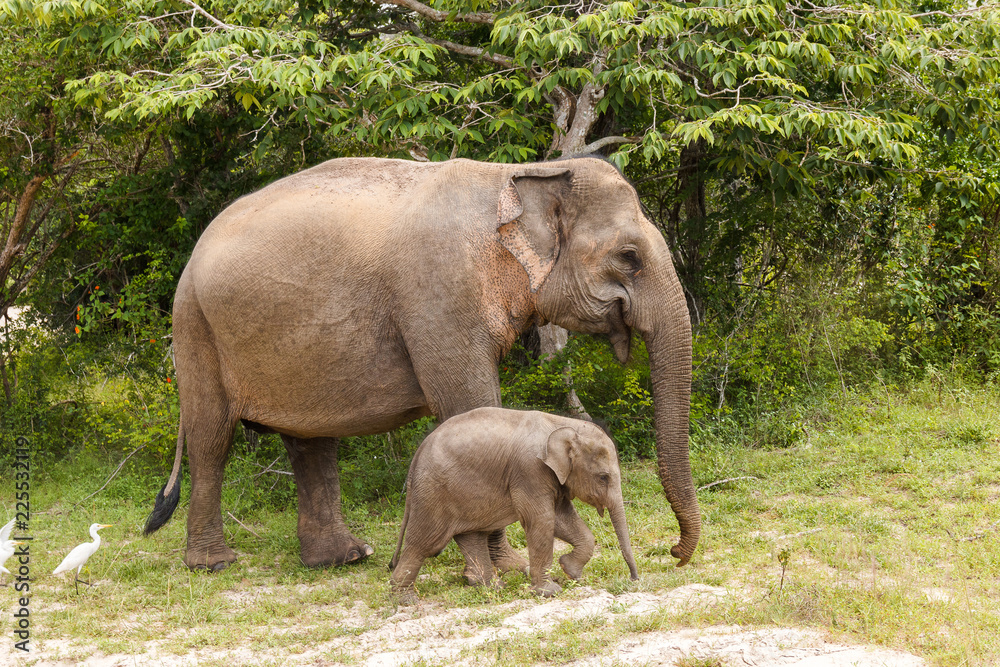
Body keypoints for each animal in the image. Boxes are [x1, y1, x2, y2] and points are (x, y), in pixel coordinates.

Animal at [143, 156, 700, 572]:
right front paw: (509, 568)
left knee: (309, 442)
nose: (674, 552)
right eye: (628, 257)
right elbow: (468, 402)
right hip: (196, 327)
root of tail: (194, 254)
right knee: (211, 438)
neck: (525, 174)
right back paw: (215, 564)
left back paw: (344, 559)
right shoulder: (440, 298)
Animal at [389, 407, 639, 600]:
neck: (563, 425)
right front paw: (550, 591)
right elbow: (542, 519)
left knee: (472, 536)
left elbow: (562, 518)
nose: (634, 579)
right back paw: (406, 599)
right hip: (432, 493)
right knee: (423, 543)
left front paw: (571, 572)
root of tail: (417, 454)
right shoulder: (530, 470)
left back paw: (491, 587)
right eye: (603, 477)